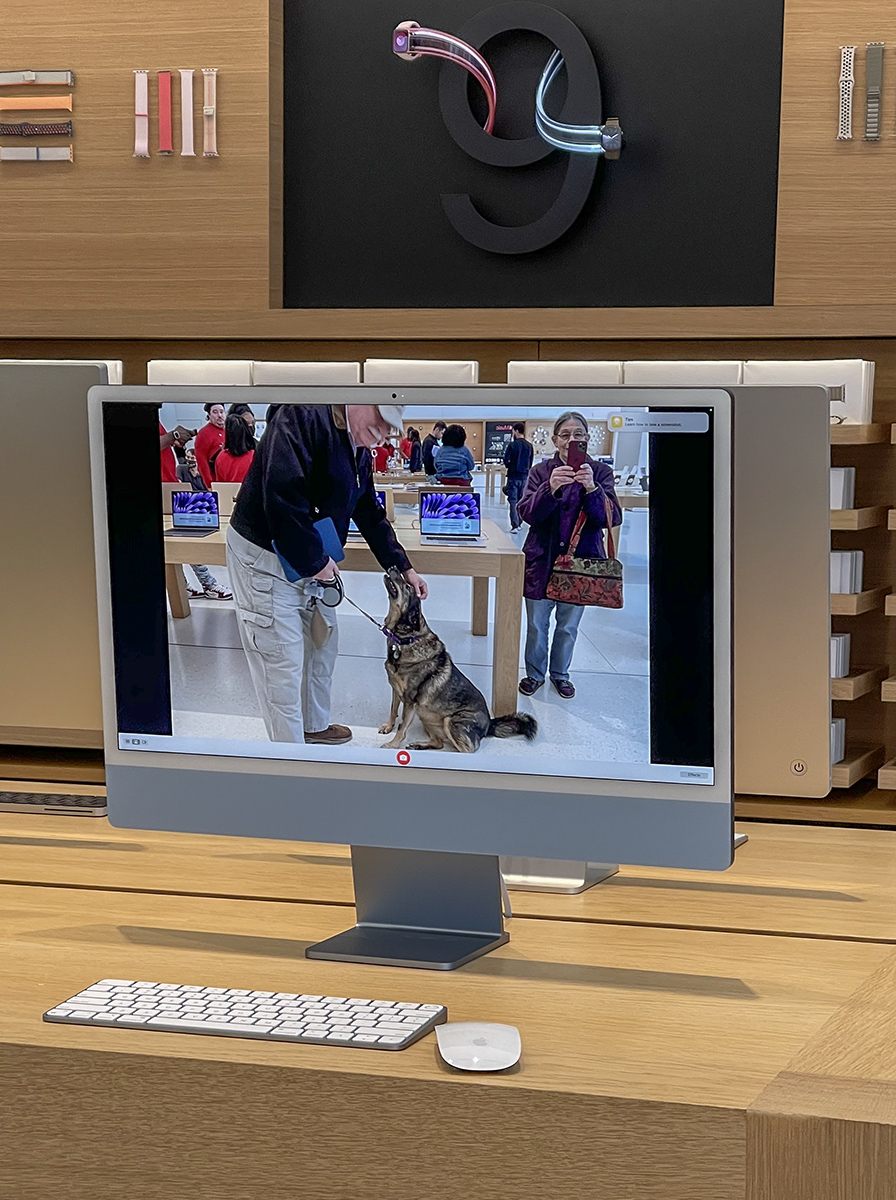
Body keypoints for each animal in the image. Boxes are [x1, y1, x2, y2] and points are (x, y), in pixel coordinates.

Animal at [381, 568, 539, 748]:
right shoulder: (396, 690)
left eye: (407, 586)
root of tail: (489, 725)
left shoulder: (409, 701)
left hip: (449, 721)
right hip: (426, 717)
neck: (405, 639)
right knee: (439, 743)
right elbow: (393, 709)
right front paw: (388, 726)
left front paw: (392, 745)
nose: (393, 567)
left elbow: (402, 728)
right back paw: (420, 745)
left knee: (465, 749)